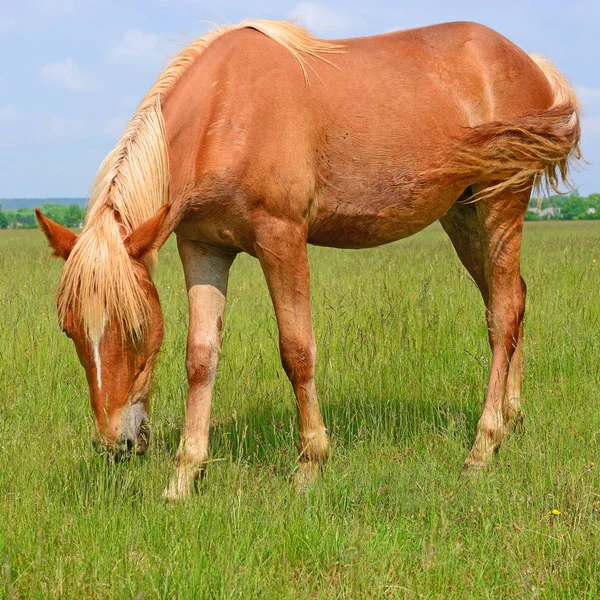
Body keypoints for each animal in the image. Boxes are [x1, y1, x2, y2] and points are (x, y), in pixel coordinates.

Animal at [37, 19, 580, 496]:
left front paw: (309, 466)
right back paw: (511, 421)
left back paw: (482, 448)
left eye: (135, 328)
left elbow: (297, 351)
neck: (225, 109)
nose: (117, 445)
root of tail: (528, 63)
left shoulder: (282, 240)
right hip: (464, 216)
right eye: (68, 329)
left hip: (500, 206)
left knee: (503, 314)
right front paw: (184, 478)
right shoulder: (203, 248)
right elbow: (201, 358)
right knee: (511, 302)